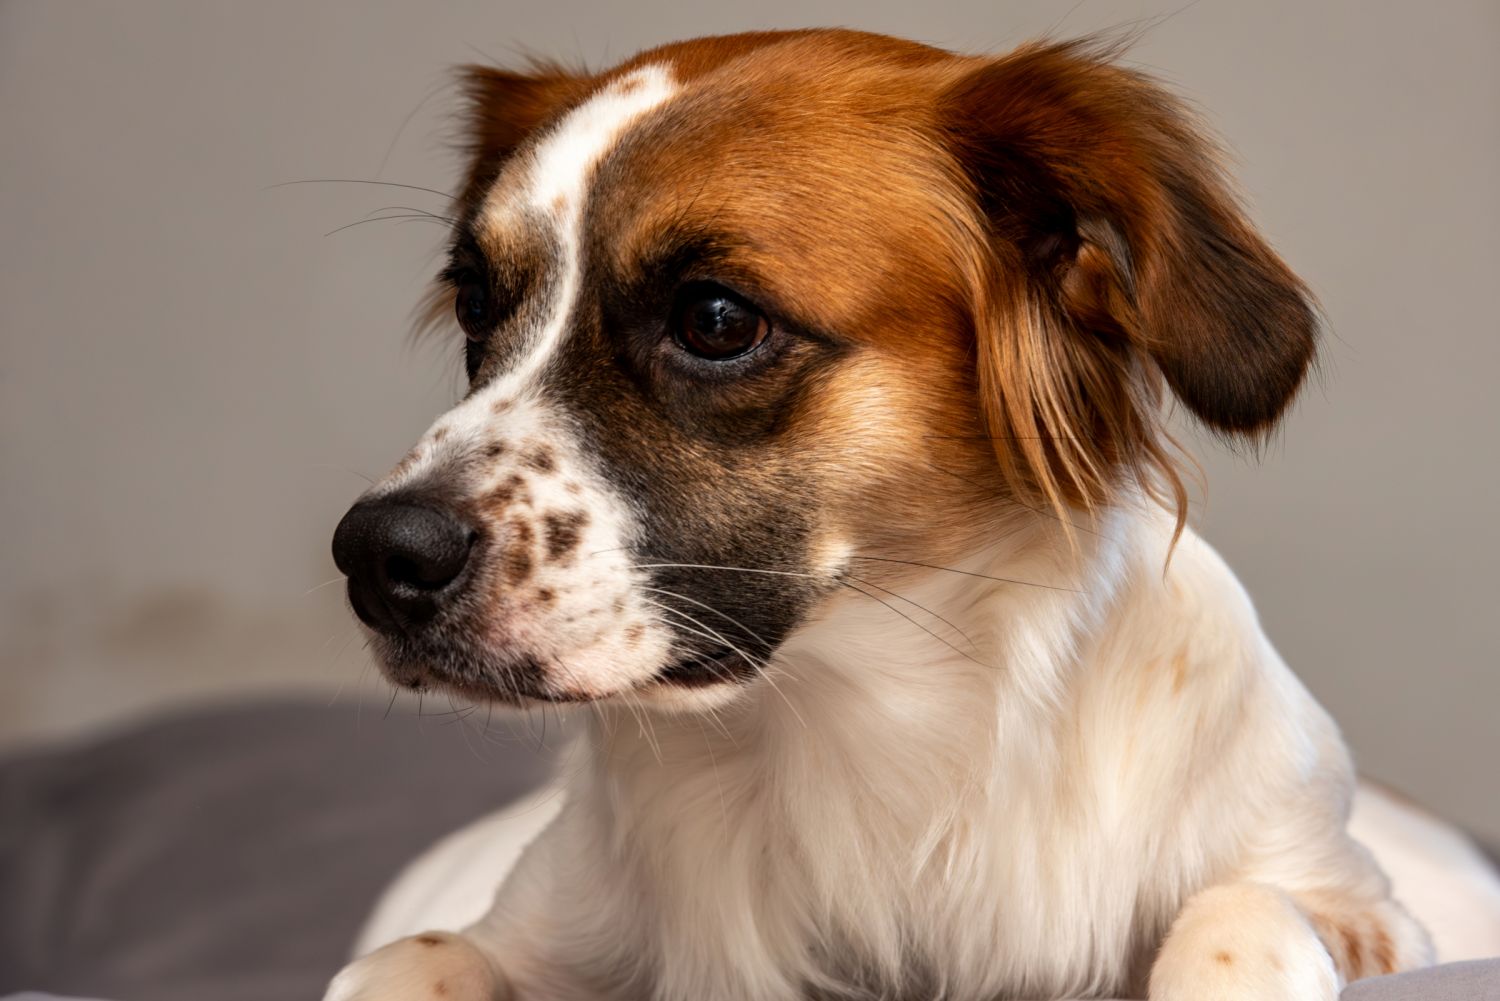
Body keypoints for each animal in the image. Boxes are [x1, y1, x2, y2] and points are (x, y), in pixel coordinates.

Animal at [324, 29, 1500, 1000]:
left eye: (716, 319)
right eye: (478, 302)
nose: (375, 556)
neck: (864, 742)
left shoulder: (1354, 896)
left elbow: (1240, 912)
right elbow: (411, 959)